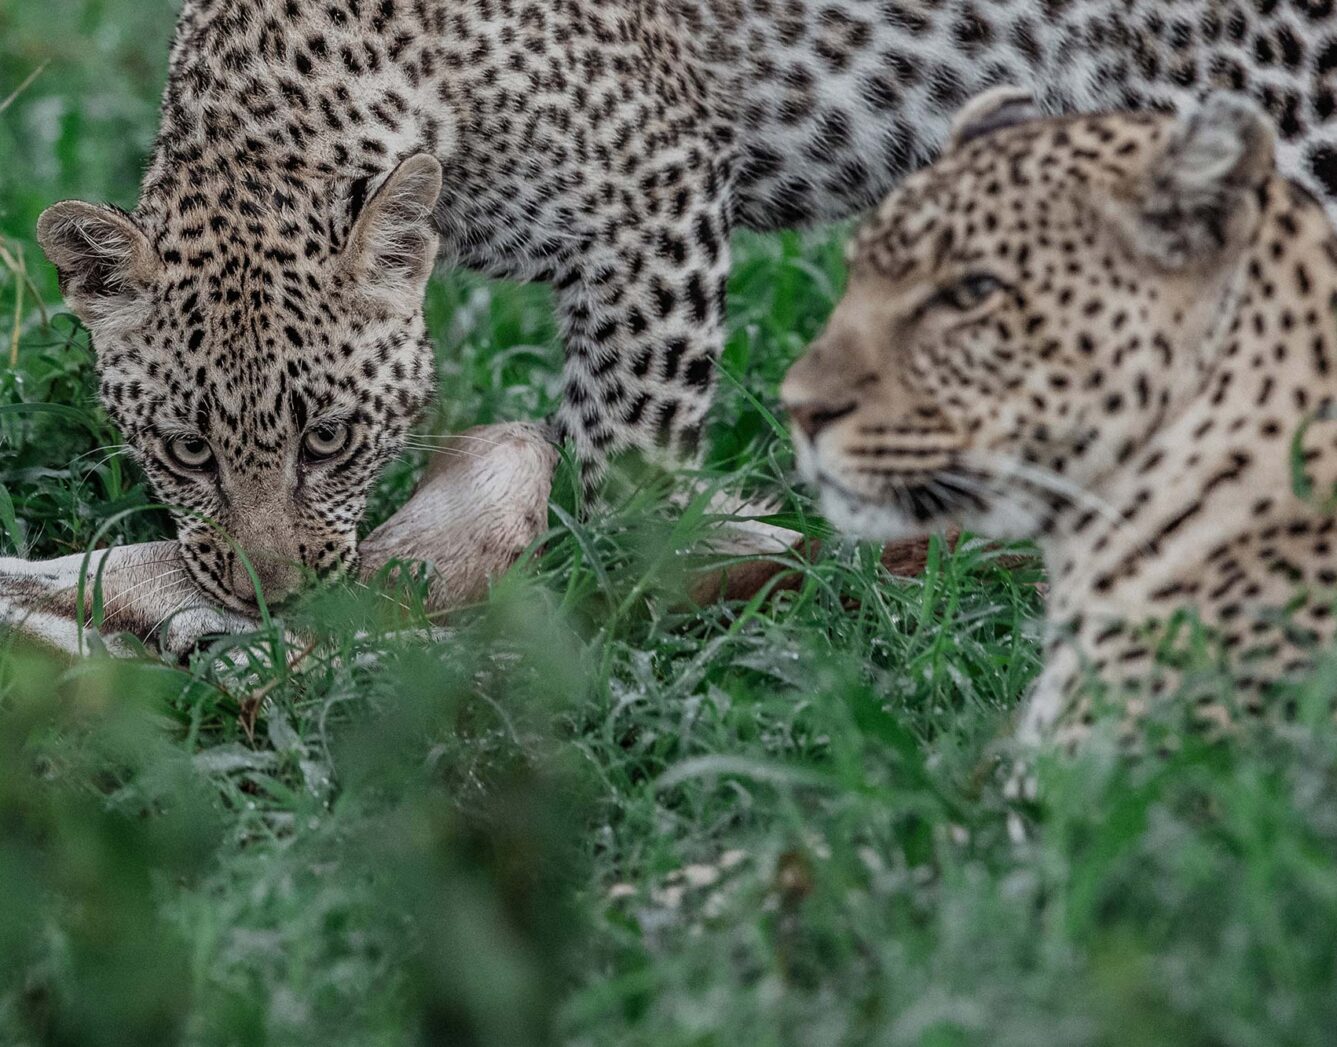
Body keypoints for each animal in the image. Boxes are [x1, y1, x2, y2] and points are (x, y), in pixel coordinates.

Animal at [36, 0, 1337, 615]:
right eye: (186, 450)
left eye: (329, 438)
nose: (275, 597)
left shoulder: (651, 195)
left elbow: (620, 445)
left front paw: (653, 574)